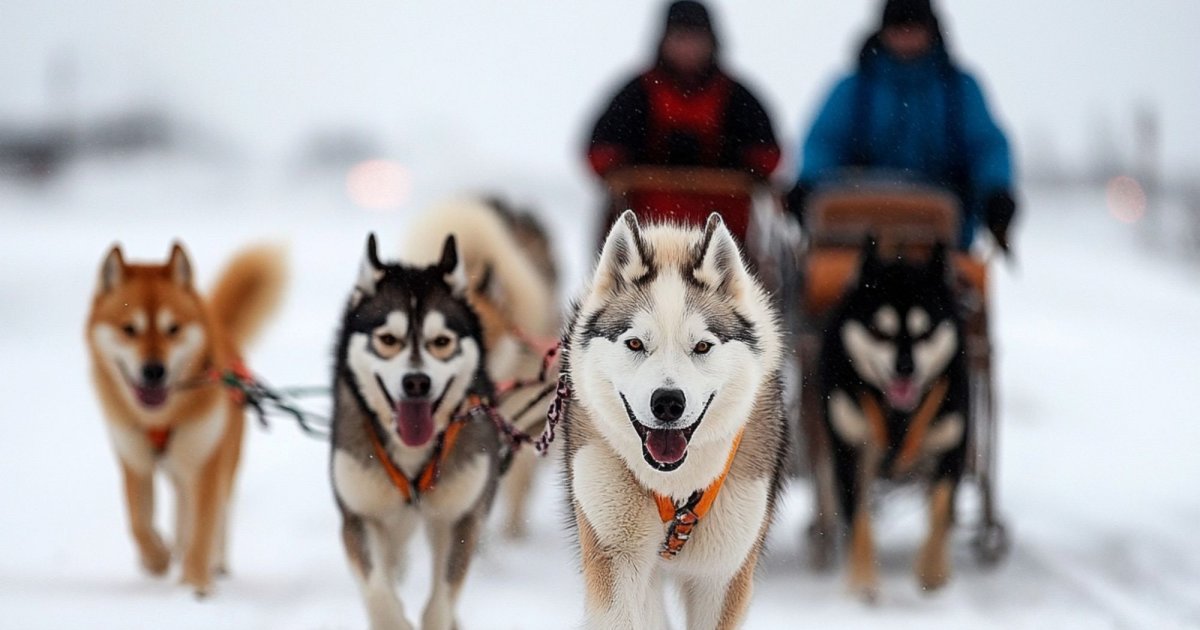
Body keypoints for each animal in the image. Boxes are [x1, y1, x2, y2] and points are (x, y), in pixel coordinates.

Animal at [85, 241, 286, 595]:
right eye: (129, 330)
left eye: (172, 329)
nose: (153, 370)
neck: (160, 418)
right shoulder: (135, 461)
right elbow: (139, 523)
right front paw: (156, 559)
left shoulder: (206, 462)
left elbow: (203, 527)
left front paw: (196, 584)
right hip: (178, 470)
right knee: (181, 511)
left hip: (219, 461)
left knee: (214, 516)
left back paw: (213, 564)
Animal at [328, 231, 501, 628]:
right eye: (388, 340)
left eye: (441, 342)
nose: (417, 383)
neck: (411, 455)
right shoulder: (359, 516)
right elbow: (379, 591)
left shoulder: (458, 519)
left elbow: (441, 601)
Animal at [561, 212, 787, 628]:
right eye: (635, 343)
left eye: (702, 346)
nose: (668, 403)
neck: (675, 487)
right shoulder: (615, 558)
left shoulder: (723, 576)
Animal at [820, 238, 969, 597]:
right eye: (880, 333)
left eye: (925, 333)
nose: (905, 368)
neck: (898, 414)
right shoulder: (849, 452)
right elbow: (858, 516)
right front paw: (862, 581)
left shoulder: (950, 447)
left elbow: (941, 509)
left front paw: (933, 571)